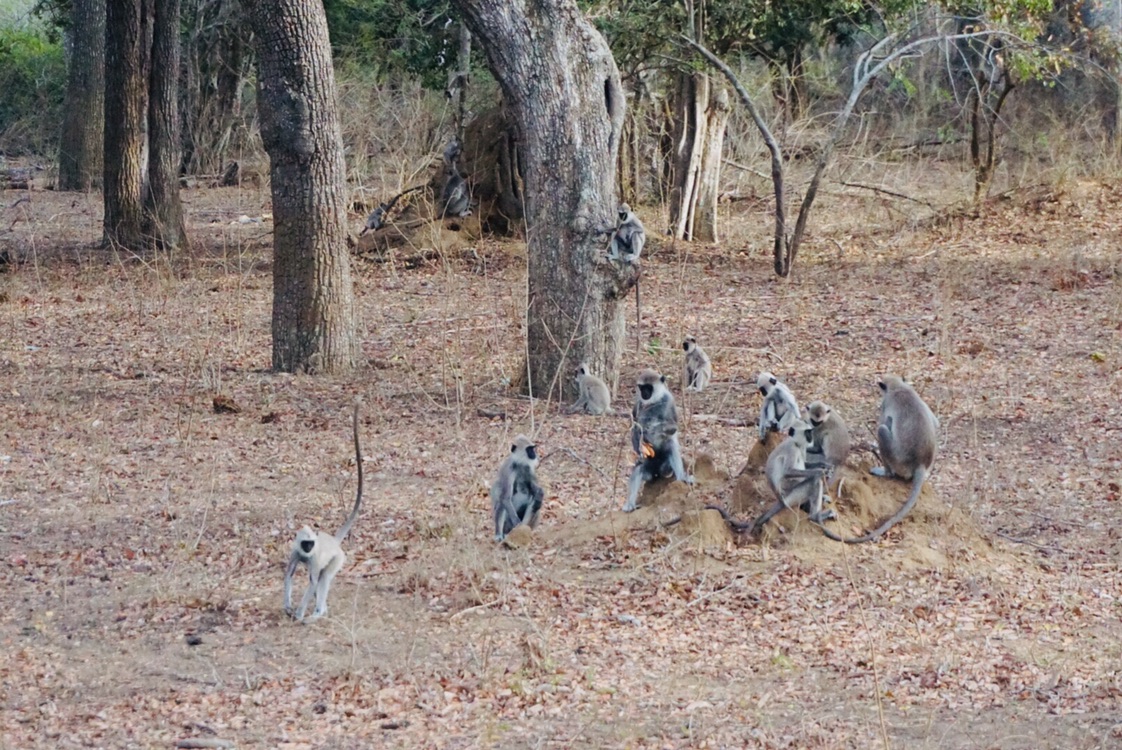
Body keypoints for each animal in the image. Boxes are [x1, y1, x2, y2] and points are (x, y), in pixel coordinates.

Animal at [282, 401, 365, 624]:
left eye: (311, 544)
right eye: (305, 543)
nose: (309, 548)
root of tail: (334, 541)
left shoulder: (313, 559)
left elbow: (312, 582)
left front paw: (299, 613)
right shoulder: (295, 552)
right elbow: (289, 575)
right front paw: (287, 606)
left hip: (338, 559)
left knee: (323, 577)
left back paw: (318, 613)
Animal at [623, 368, 691, 511]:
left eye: (649, 387)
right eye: (642, 387)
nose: (644, 393)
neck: (653, 401)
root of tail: (656, 471)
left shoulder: (669, 400)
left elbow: (673, 427)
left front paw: (651, 427)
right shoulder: (638, 402)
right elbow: (634, 427)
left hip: (665, 464)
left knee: (670, 445)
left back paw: (681, 477)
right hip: (648, 466)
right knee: (639, 467)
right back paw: (630, 505)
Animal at [816, 377, 937, 541]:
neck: (899, 387)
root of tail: (921, 464)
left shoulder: (885, 403)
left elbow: (885, 421)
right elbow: (936, 422)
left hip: (898, 461)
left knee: (882, 429)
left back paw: (886, 472)